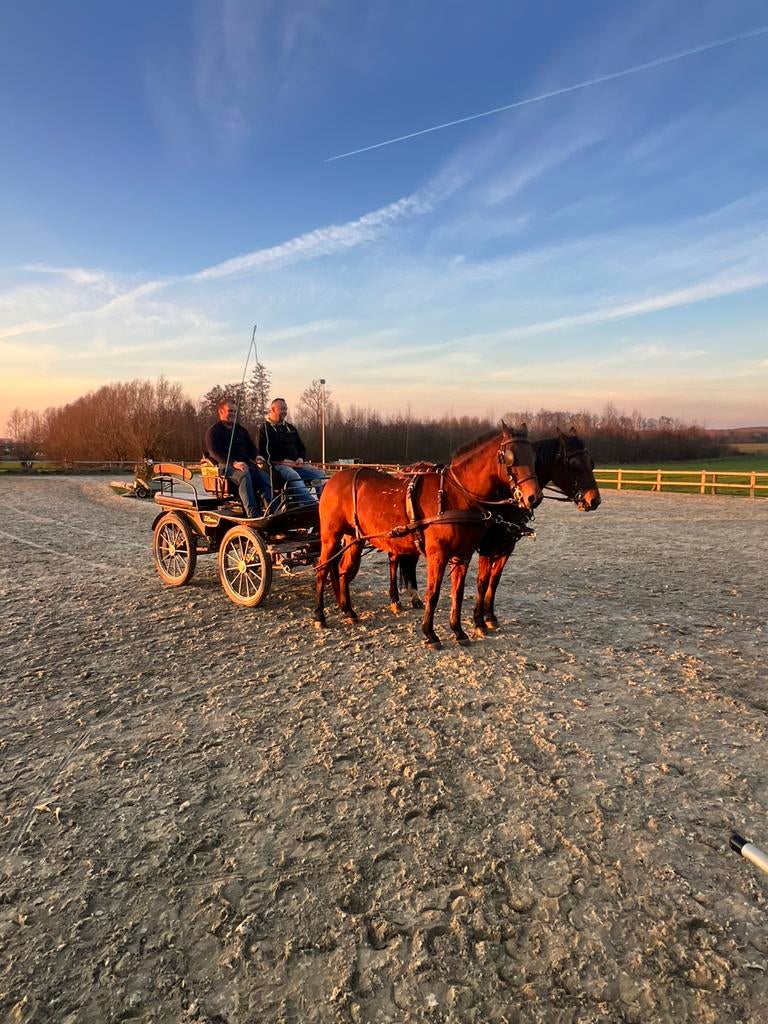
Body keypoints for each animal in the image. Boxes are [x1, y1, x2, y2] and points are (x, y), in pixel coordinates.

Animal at [314, 424, 542, 648]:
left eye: (534, 457)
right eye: (512, 457)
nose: (534, 497)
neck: (456, 495)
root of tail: (333, 480)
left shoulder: (463, 555)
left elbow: (458, 592)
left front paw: (458, 631)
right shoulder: (438, 555)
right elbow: (433, 593)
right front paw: (430, 634)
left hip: (354, 539)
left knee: (343, 571)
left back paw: (348, 611)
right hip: (330, 537)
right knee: (323, 569)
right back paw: (319, 616)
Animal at [385, 427, 601, 631]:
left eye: (591, 463)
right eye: (573, 464)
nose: (594, 500)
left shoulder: (506, 547)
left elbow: (494, 581)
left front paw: (490, 617)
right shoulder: (487, 547)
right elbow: (482, 582)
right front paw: (478, 621)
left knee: (408, 562)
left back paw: (414, 597)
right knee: (395, 560)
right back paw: (396, 600)